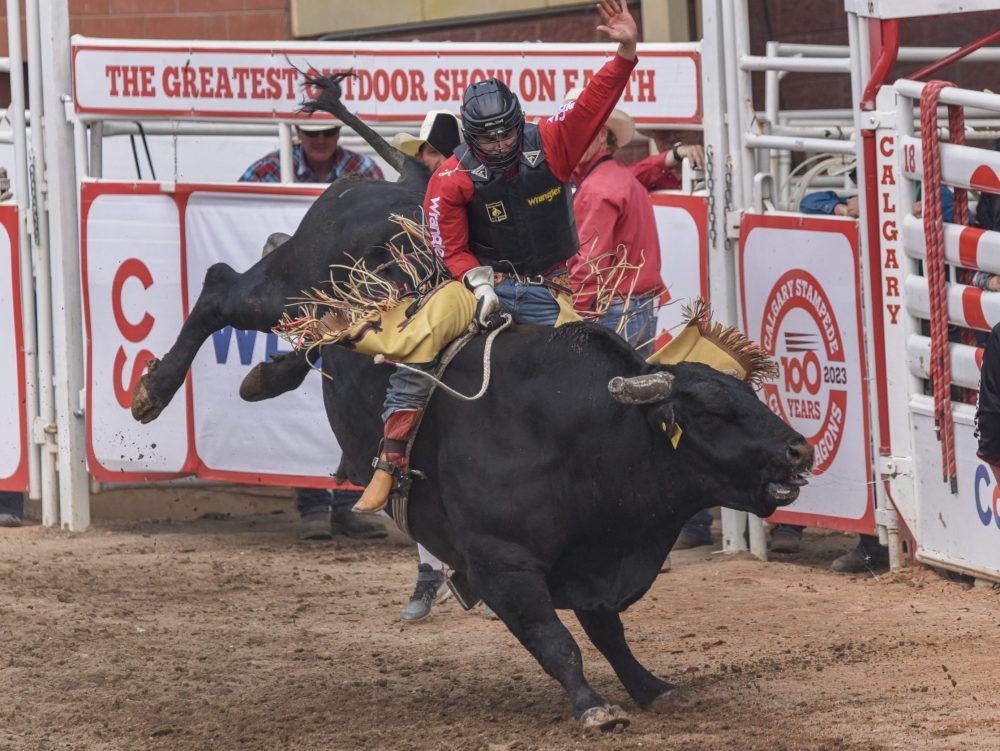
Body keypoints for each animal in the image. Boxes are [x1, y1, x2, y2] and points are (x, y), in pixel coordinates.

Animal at [129, 170, 812, 728]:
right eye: (715, 412)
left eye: (750, 397)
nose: (799, 452)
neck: (584, 434)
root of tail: (371, 184)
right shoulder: (501, 565)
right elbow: (557, 640)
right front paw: (594, 708)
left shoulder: (597, 559)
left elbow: (608, 633)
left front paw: (650, 687)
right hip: (287, 290)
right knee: (221, 289)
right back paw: (153, 391)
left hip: (319, 310)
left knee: (308, 334)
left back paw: (263, 377)